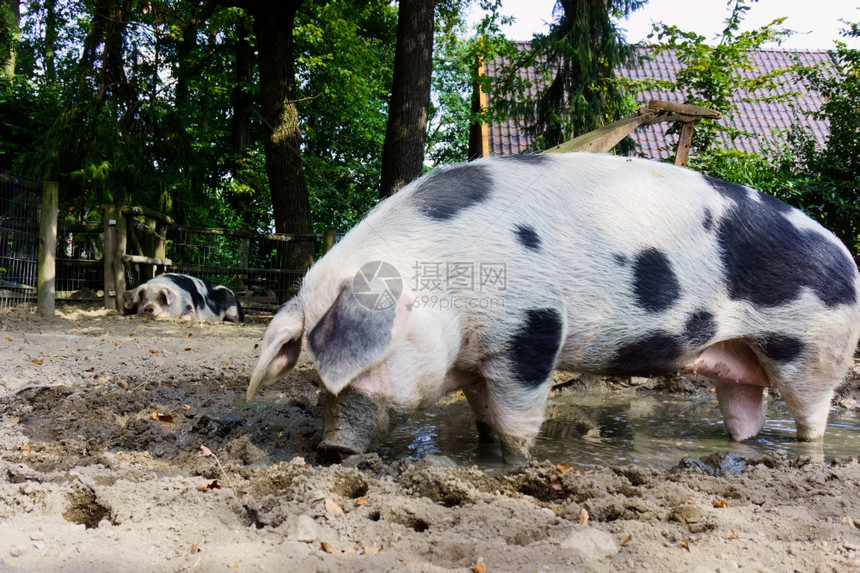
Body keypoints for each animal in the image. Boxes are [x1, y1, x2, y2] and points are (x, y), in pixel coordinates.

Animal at [245, 153, 856, 464]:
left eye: (363, 368)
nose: (330, 449)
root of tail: (846, 255)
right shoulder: (477, 359)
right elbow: (485, 413)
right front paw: (485, 447)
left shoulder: (533, 331)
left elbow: (517, 422)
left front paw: (516, 466)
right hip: (740, 364)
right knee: (745, 409)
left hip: (814, 349)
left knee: (812, 415)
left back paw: (808, 452)